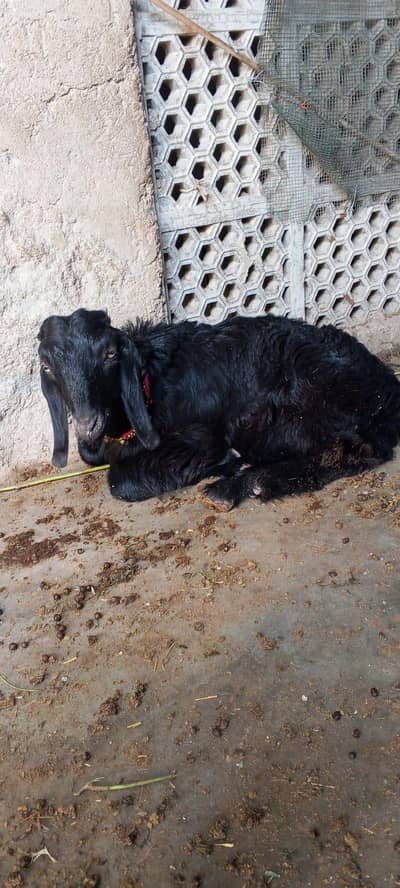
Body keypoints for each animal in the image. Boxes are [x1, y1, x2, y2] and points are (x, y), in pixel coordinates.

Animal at [38, 308, 400, 509]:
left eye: (110, 355)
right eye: (47, 366)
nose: (87, 423)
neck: (150, 381)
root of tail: (386, 387)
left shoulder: (203, 436)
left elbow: (118, 481)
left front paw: (224, 462)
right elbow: (91, 455)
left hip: (291, 409)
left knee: (355, 451)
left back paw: (234, 485)